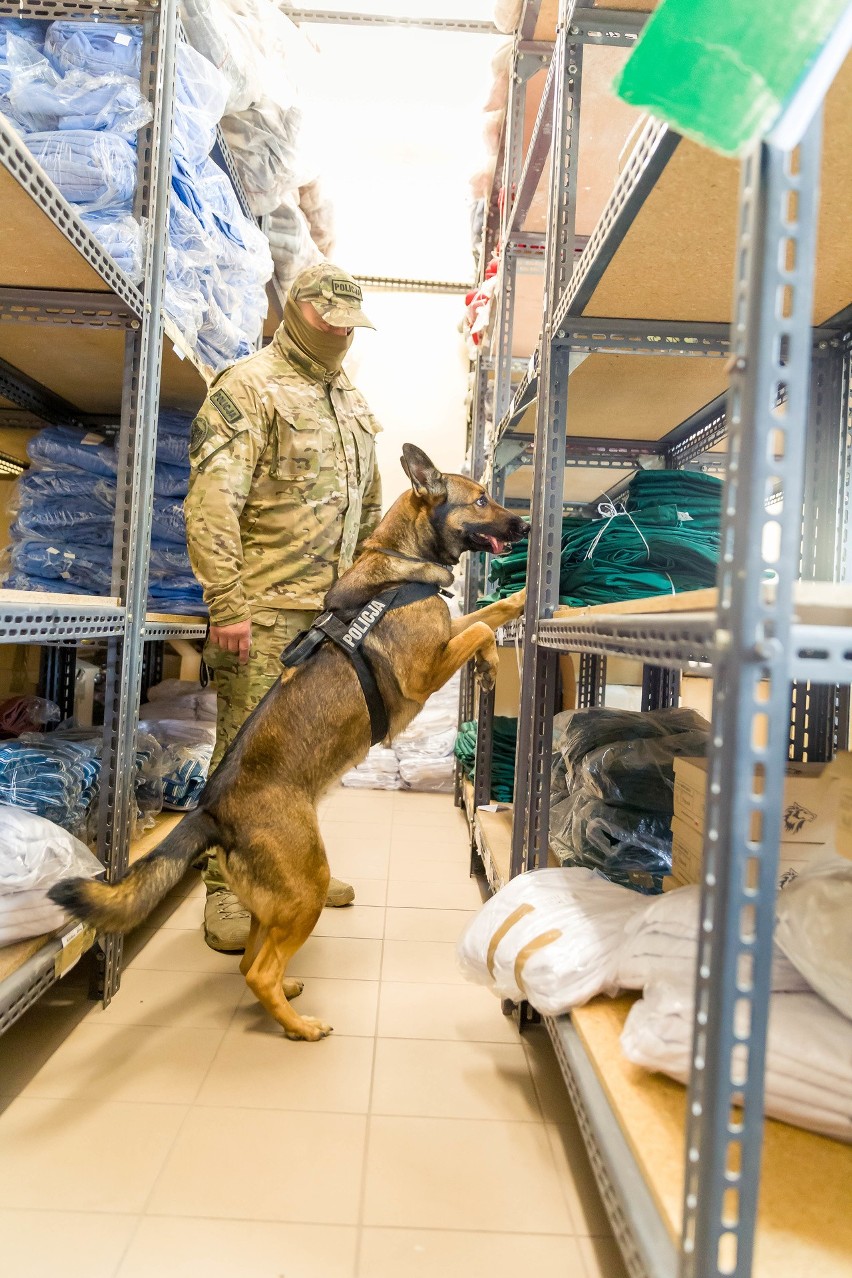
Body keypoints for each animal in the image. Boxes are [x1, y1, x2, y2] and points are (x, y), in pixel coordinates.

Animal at [51, 444, 526, 1042]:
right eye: (482, 500)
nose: (527, 525)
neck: (399, 563)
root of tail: (212, 810)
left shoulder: (446, 635)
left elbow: (489, 614)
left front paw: (520, 604)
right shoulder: (428, 669)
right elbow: (480, 628)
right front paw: (497, 650)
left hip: (275, 901)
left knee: (252, 963)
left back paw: (288, 996)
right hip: (306, 885)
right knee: (257, 970)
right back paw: (301, 1027)